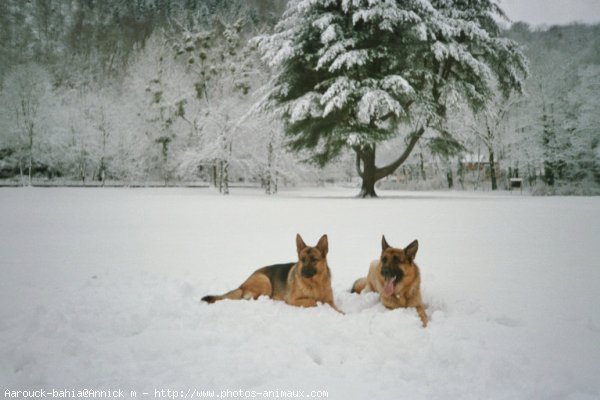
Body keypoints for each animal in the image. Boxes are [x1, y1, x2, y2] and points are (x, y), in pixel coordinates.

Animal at [202, 234, 342, 312]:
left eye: (314, 260)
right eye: (302, 260)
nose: (302, 273)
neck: (315, 284)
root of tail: (242, 284)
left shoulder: (331, 301)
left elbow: (335, 308)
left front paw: (342, 313)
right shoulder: (292, 300)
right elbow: (313, 301)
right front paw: (317, 302)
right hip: (265, 282)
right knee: (248, 298)